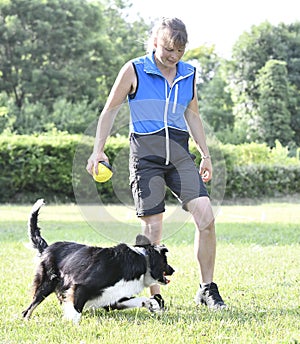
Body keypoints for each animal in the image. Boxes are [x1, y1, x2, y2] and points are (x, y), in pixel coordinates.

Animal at [22, 199, 175, 322]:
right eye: (165, 261)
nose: (173, 270)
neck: (143, 261)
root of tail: (47, 248)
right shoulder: (81, 287)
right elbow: (76, 313)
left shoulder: (114, 297)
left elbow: (140, 300)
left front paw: (153, 304)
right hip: (46, 283)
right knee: (28, 309)